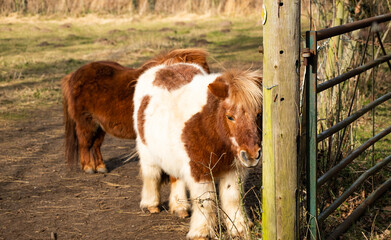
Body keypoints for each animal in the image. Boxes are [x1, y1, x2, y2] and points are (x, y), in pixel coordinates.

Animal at [62, 47, 211, 173]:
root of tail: (73, 75)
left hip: (99, 125)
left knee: (95, 145)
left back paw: (100, 167)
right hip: (86, 122)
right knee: (85, 144)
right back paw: (88, 167)